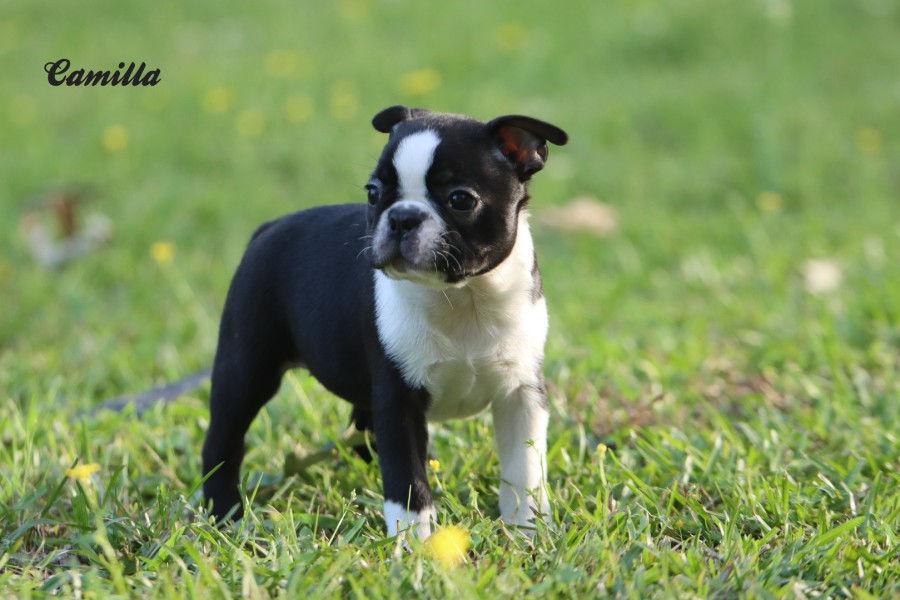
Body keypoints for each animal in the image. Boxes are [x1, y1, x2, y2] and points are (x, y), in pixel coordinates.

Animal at [201, 105, 568, 538]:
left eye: (460, 199)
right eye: (373, 193)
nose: (402, 217)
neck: (465, 297)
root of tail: (268, 228)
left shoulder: (521, 394)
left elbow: (524, 469)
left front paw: (528, 530)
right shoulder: (398, 399)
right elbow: (407, 479)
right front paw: (416, 544)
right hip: (246, 366)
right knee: (223, 439)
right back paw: (223, 512)